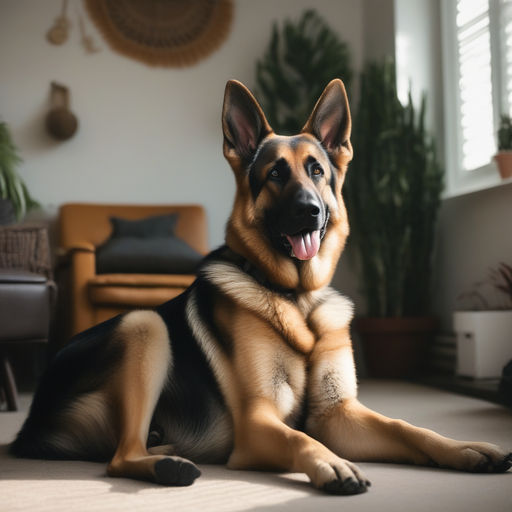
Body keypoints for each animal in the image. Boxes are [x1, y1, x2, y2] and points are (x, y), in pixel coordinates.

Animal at [11, 79, 512, 492]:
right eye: (275, 174)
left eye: (316, 171)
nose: (310, 210)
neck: (297, 298)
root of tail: (28, 427)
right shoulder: (258, 422)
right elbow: (301, 440)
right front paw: (332, 463)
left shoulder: (339, 414)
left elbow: (407, 427)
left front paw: (464, 448)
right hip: (143, 325)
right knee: (119, 456)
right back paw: (169, 465)